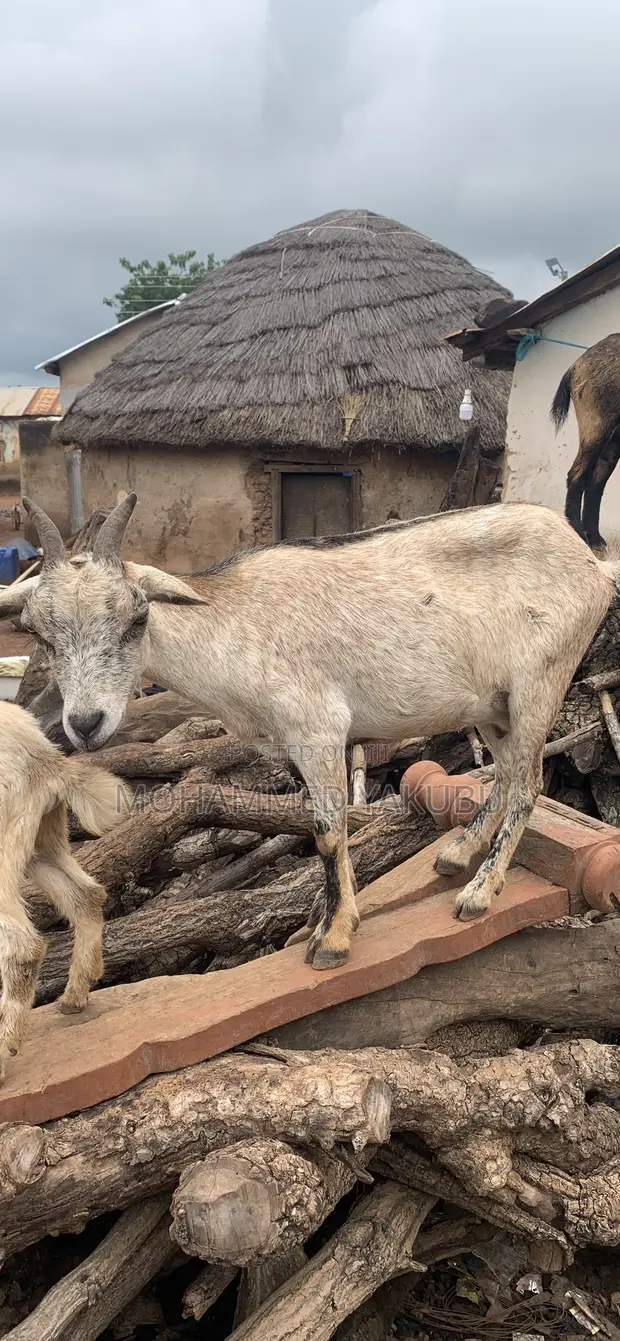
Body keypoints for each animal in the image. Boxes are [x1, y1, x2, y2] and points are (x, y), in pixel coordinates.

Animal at [3, 495, 618, 970]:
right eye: (37, 631)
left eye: (137, 617)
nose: (85, 723)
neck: (236, 622)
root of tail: (590, 561)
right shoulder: (293, 745)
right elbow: (314, 825)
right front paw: (321, 923)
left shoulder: (318, 726)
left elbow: (326, 829)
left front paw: (334, 938)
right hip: (492, 704)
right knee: (510, 771)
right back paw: (460, 852)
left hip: (541, 680)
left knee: (530, 780)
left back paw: (479, 892)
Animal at [551, 332, 620, 550]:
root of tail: (576, 365)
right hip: (597, 428)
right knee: (577, 476)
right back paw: (579, 534)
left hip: (613, 442)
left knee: (596, 483)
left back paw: (596, 539)